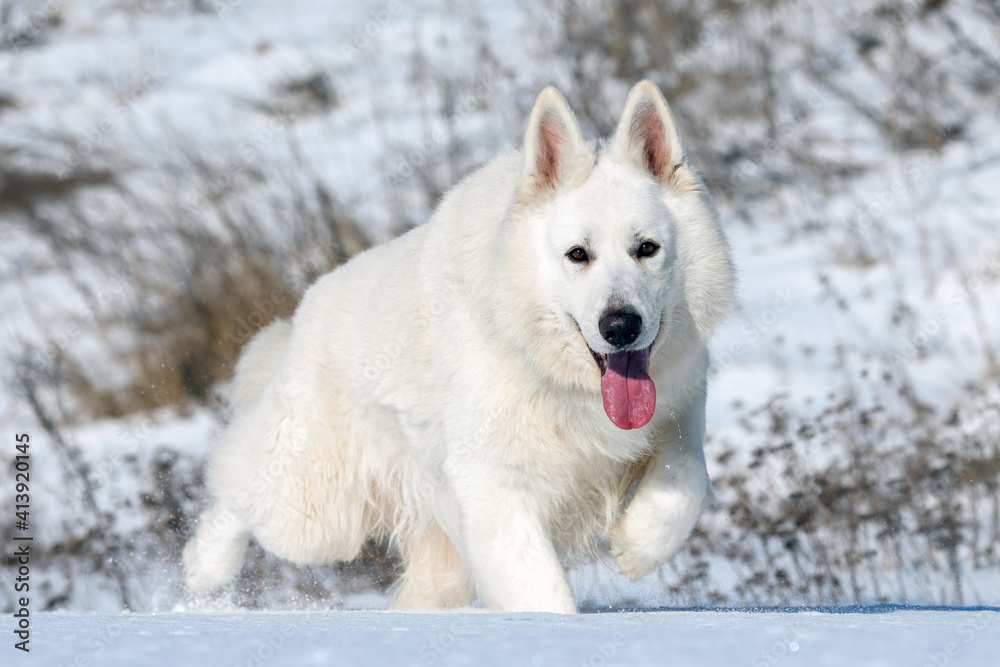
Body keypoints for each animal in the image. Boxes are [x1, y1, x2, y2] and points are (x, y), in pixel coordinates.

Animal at [184, 81, 736, 612]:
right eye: (578, 255)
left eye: (647, 248)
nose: (620, 326)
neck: (553, 373)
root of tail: (304, 314)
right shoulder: (496, 485)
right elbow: (542, 593)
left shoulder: (682, 406)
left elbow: (689, 475)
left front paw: (640, 544)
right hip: (314, 510)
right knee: (237, 485)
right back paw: (203, 569)